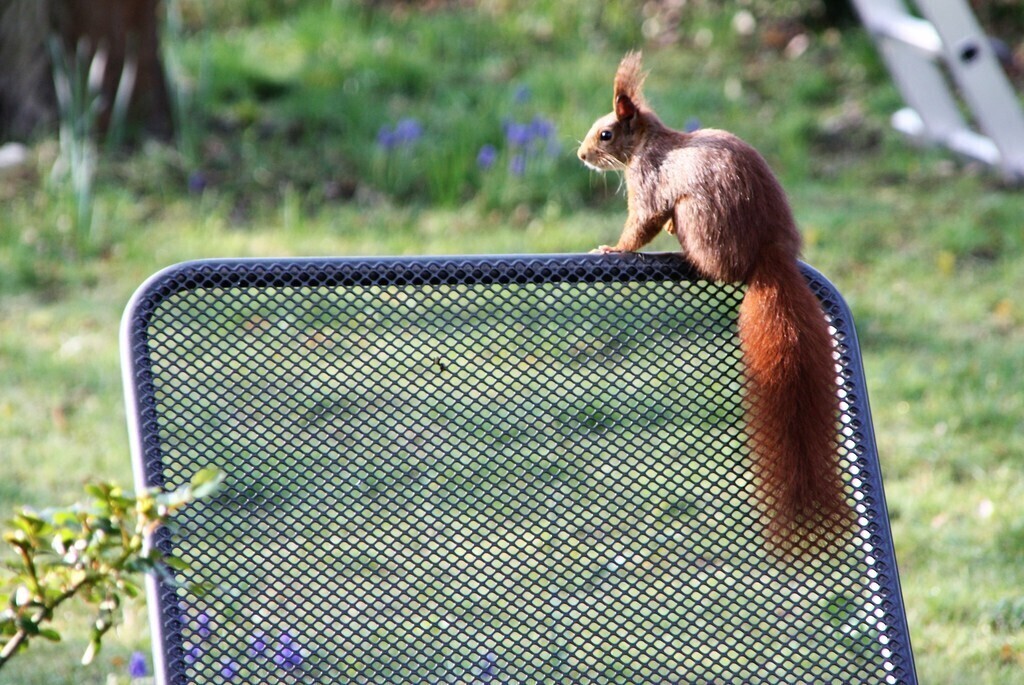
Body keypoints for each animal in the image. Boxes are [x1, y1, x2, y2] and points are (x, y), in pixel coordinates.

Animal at [577, 51, 851, 554]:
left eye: (605, 133)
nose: (581, 156)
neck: (651, 142)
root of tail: (769, 254)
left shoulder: (649, 181)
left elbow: (642, 221)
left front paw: (615, 249)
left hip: (698, 218)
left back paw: (678, 253)